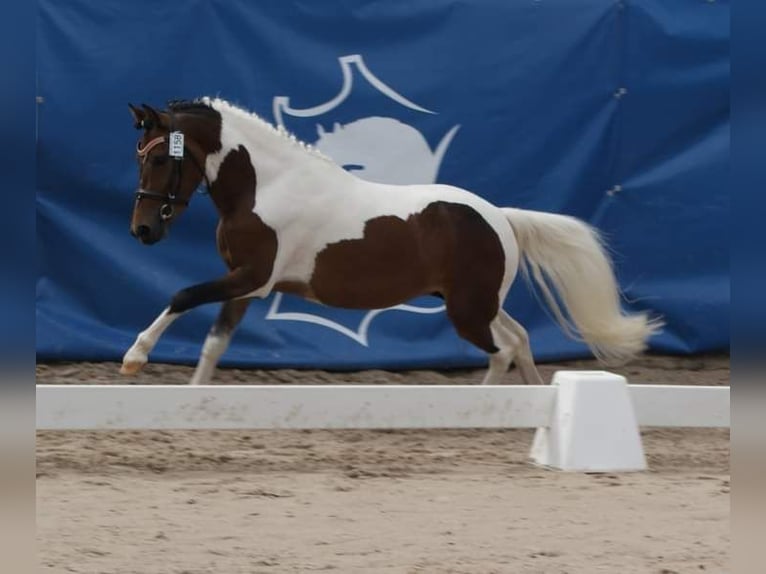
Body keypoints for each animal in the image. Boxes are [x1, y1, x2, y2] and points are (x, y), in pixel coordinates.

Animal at [123, 98, 664, 388]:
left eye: (158, 159)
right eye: (139, 156)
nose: (142, 230)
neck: (267, 185)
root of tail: (501, 219)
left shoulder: (251, 278)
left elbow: (181, 295)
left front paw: (135, 357)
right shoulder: (246, 287)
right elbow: (213, 346)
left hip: (468, 311)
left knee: (502, 350)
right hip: (478, 303)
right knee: (521, 340)